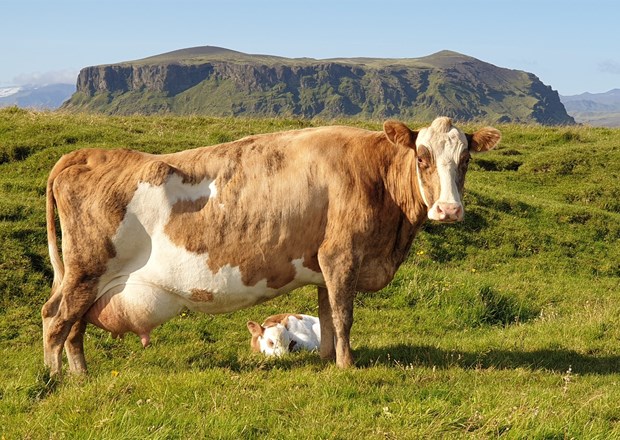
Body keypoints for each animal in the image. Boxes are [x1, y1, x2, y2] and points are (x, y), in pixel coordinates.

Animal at [41, 116, 500, 375]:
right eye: (422, 157)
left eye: (465, 160)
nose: (449, 209)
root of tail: (85, 154)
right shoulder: (342, 256)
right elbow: (344, 316)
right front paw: (348, 366)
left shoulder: (323, 265)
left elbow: (327, 316)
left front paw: (326, 361)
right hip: (86, 271)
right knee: (55, 319)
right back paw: (55, 379)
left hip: (91, 281)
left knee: (74, 326)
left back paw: (81, 375)